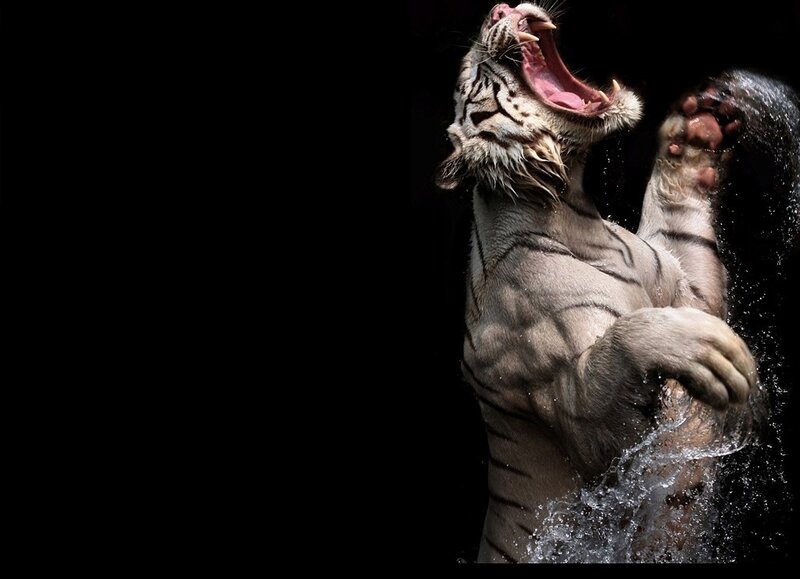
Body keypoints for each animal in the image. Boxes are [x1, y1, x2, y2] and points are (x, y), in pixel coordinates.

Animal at [436, 2, 798, 563]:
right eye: (473, 74)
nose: (501, 8)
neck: (576, 214)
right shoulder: (581, 415)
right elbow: (621, 345)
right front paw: (708, 353)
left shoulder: (691, 289)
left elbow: (681, 232)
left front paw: (694, 133)